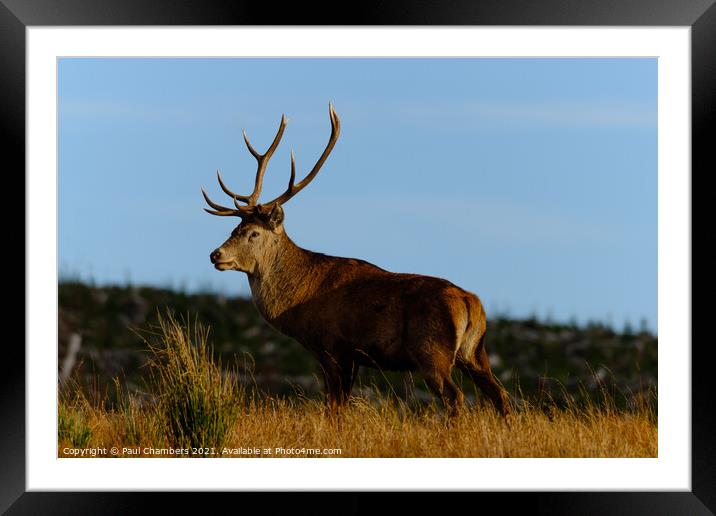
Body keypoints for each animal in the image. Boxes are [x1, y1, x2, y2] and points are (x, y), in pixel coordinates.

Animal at [201, 104, 512, 416]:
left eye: (253, 233)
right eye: (234, 228)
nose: (216, 254)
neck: (299, 298)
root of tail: (471, 303)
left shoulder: (333, 347)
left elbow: (335, 406)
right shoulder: (349, 357)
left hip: (432, 351)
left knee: (455, 396)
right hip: (474, 352)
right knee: (500, 394)